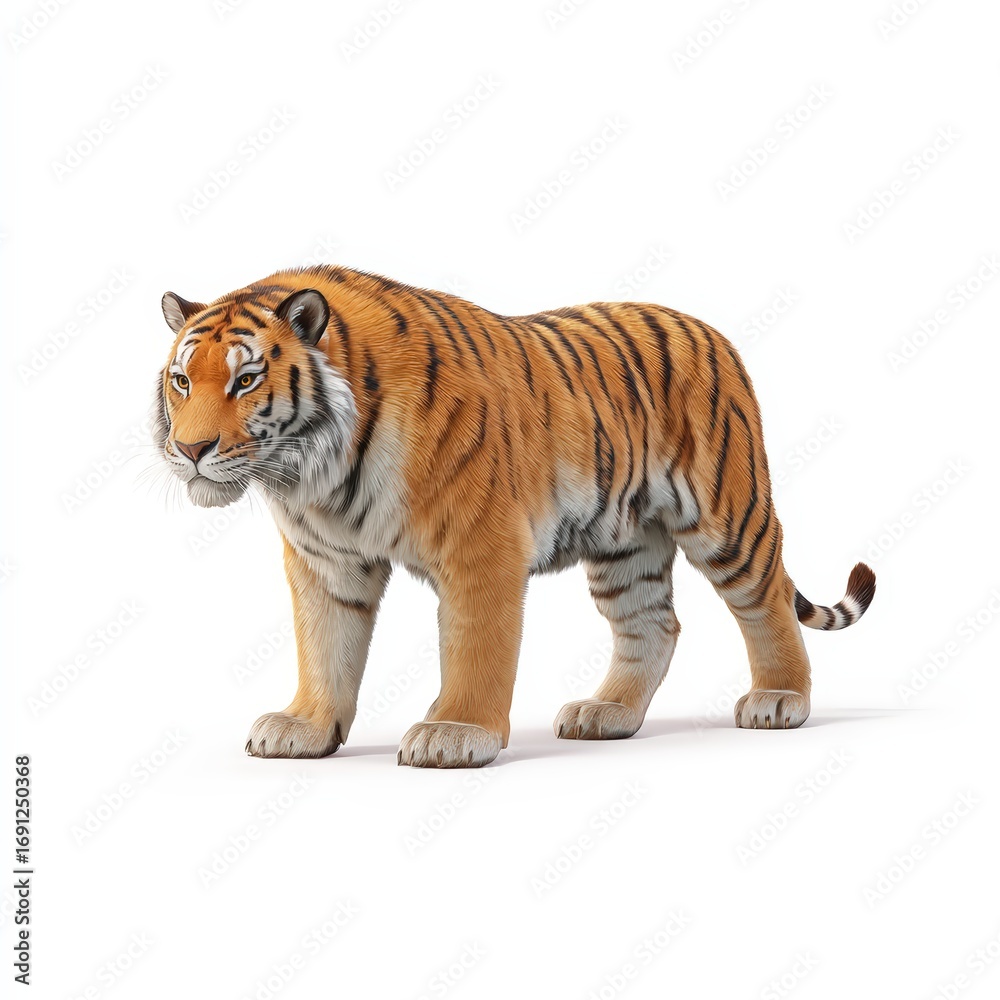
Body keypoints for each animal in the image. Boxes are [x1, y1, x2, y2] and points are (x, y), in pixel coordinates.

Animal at [153, 264, 875, 768]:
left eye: (246, 381)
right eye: (181, 381)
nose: (189, 450)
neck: (316, 477)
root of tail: (710, 330)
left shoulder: (482, 545)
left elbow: (477, 646)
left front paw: (454, 732)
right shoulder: (325, 562)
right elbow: (323, 646)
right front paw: (303, 726)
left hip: (728, 517)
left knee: (768, 598)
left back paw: (781, 699)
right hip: (624, 542)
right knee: (654, 623)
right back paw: (606, 712)